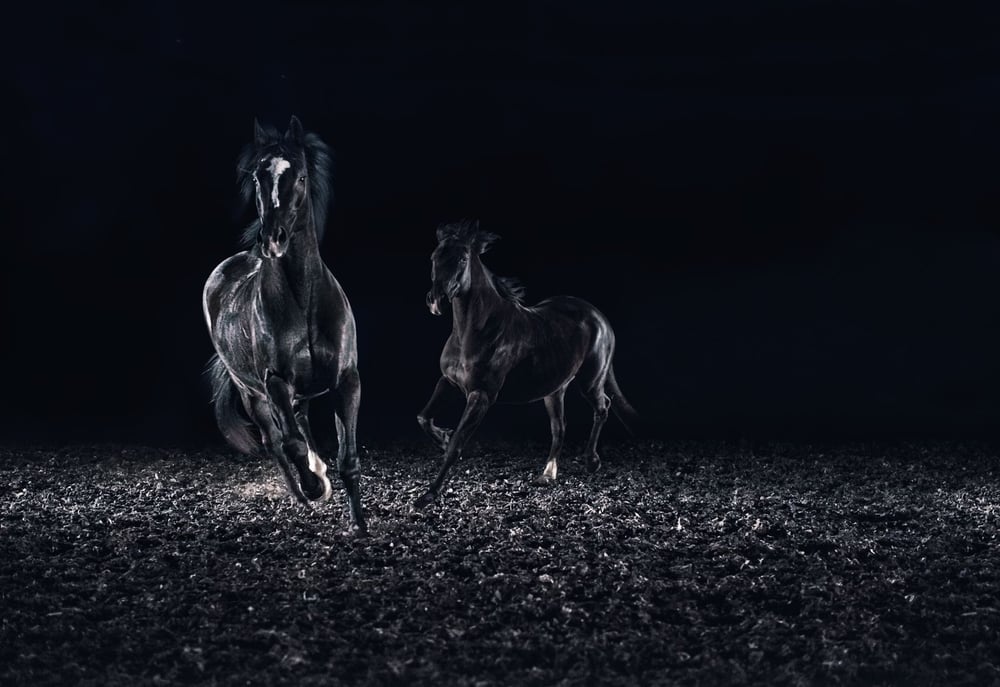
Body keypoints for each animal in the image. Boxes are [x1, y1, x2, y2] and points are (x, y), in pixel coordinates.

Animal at [202, 116, 365, 534]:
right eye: (257, 176)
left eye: (302, 176)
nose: (272, 240)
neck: (304, 301)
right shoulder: (274, 382)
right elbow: (290, 443)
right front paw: (316, 488)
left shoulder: (347, 380)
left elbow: (348, 457)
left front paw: (359, 524)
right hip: (253, 393)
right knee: (274, 440)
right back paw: (303, 493)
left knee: (300, 423)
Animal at [414, 219, 638, 509]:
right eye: (434, 257)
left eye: (462, 258)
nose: (436, 300)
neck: (474, 331)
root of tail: (600, 317)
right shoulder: (448, 381)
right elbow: (423, 417)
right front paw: (442, 438)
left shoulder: (481, 395)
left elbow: (457, 446)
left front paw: (428, 494)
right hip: (554, 390)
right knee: (559, 427)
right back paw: (547, 475)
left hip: (590, 380)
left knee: (603, 407)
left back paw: (592, 461)